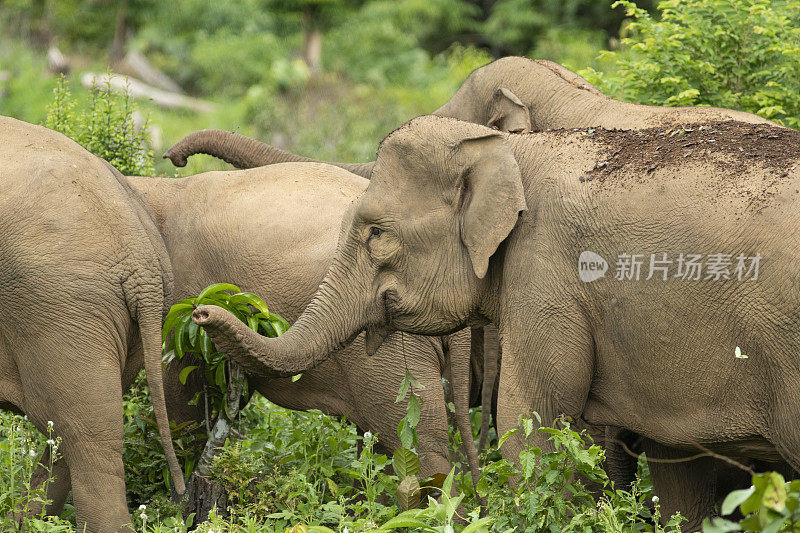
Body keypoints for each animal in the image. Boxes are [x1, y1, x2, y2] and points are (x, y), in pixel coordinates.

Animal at [192, 115, 800, 528]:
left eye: (377, 234)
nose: (201, 309)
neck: (511, 150)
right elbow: (680, 478)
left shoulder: (546, 269)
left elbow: (531, 416)